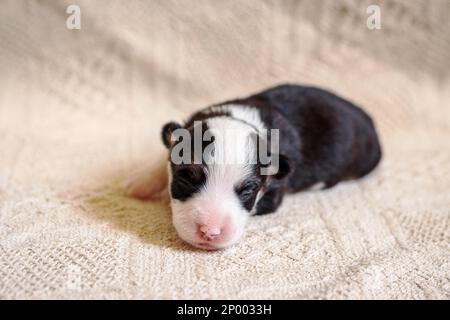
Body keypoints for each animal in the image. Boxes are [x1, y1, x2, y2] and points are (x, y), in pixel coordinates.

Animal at [125, 84, 380, 250]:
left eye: (248, 190)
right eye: (185, 178)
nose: (210, 232)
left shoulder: (275, 192)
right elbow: (167, 151)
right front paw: (140, 181)